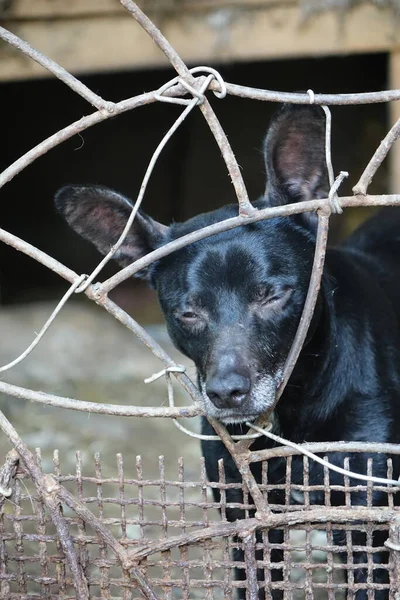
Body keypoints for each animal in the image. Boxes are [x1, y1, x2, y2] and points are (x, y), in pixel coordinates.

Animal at [54, 105, 400, 596]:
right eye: (187, 313)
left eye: (273, 295)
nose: (226, 394)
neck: (291, 411)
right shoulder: (246, 520)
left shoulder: (365, 520)